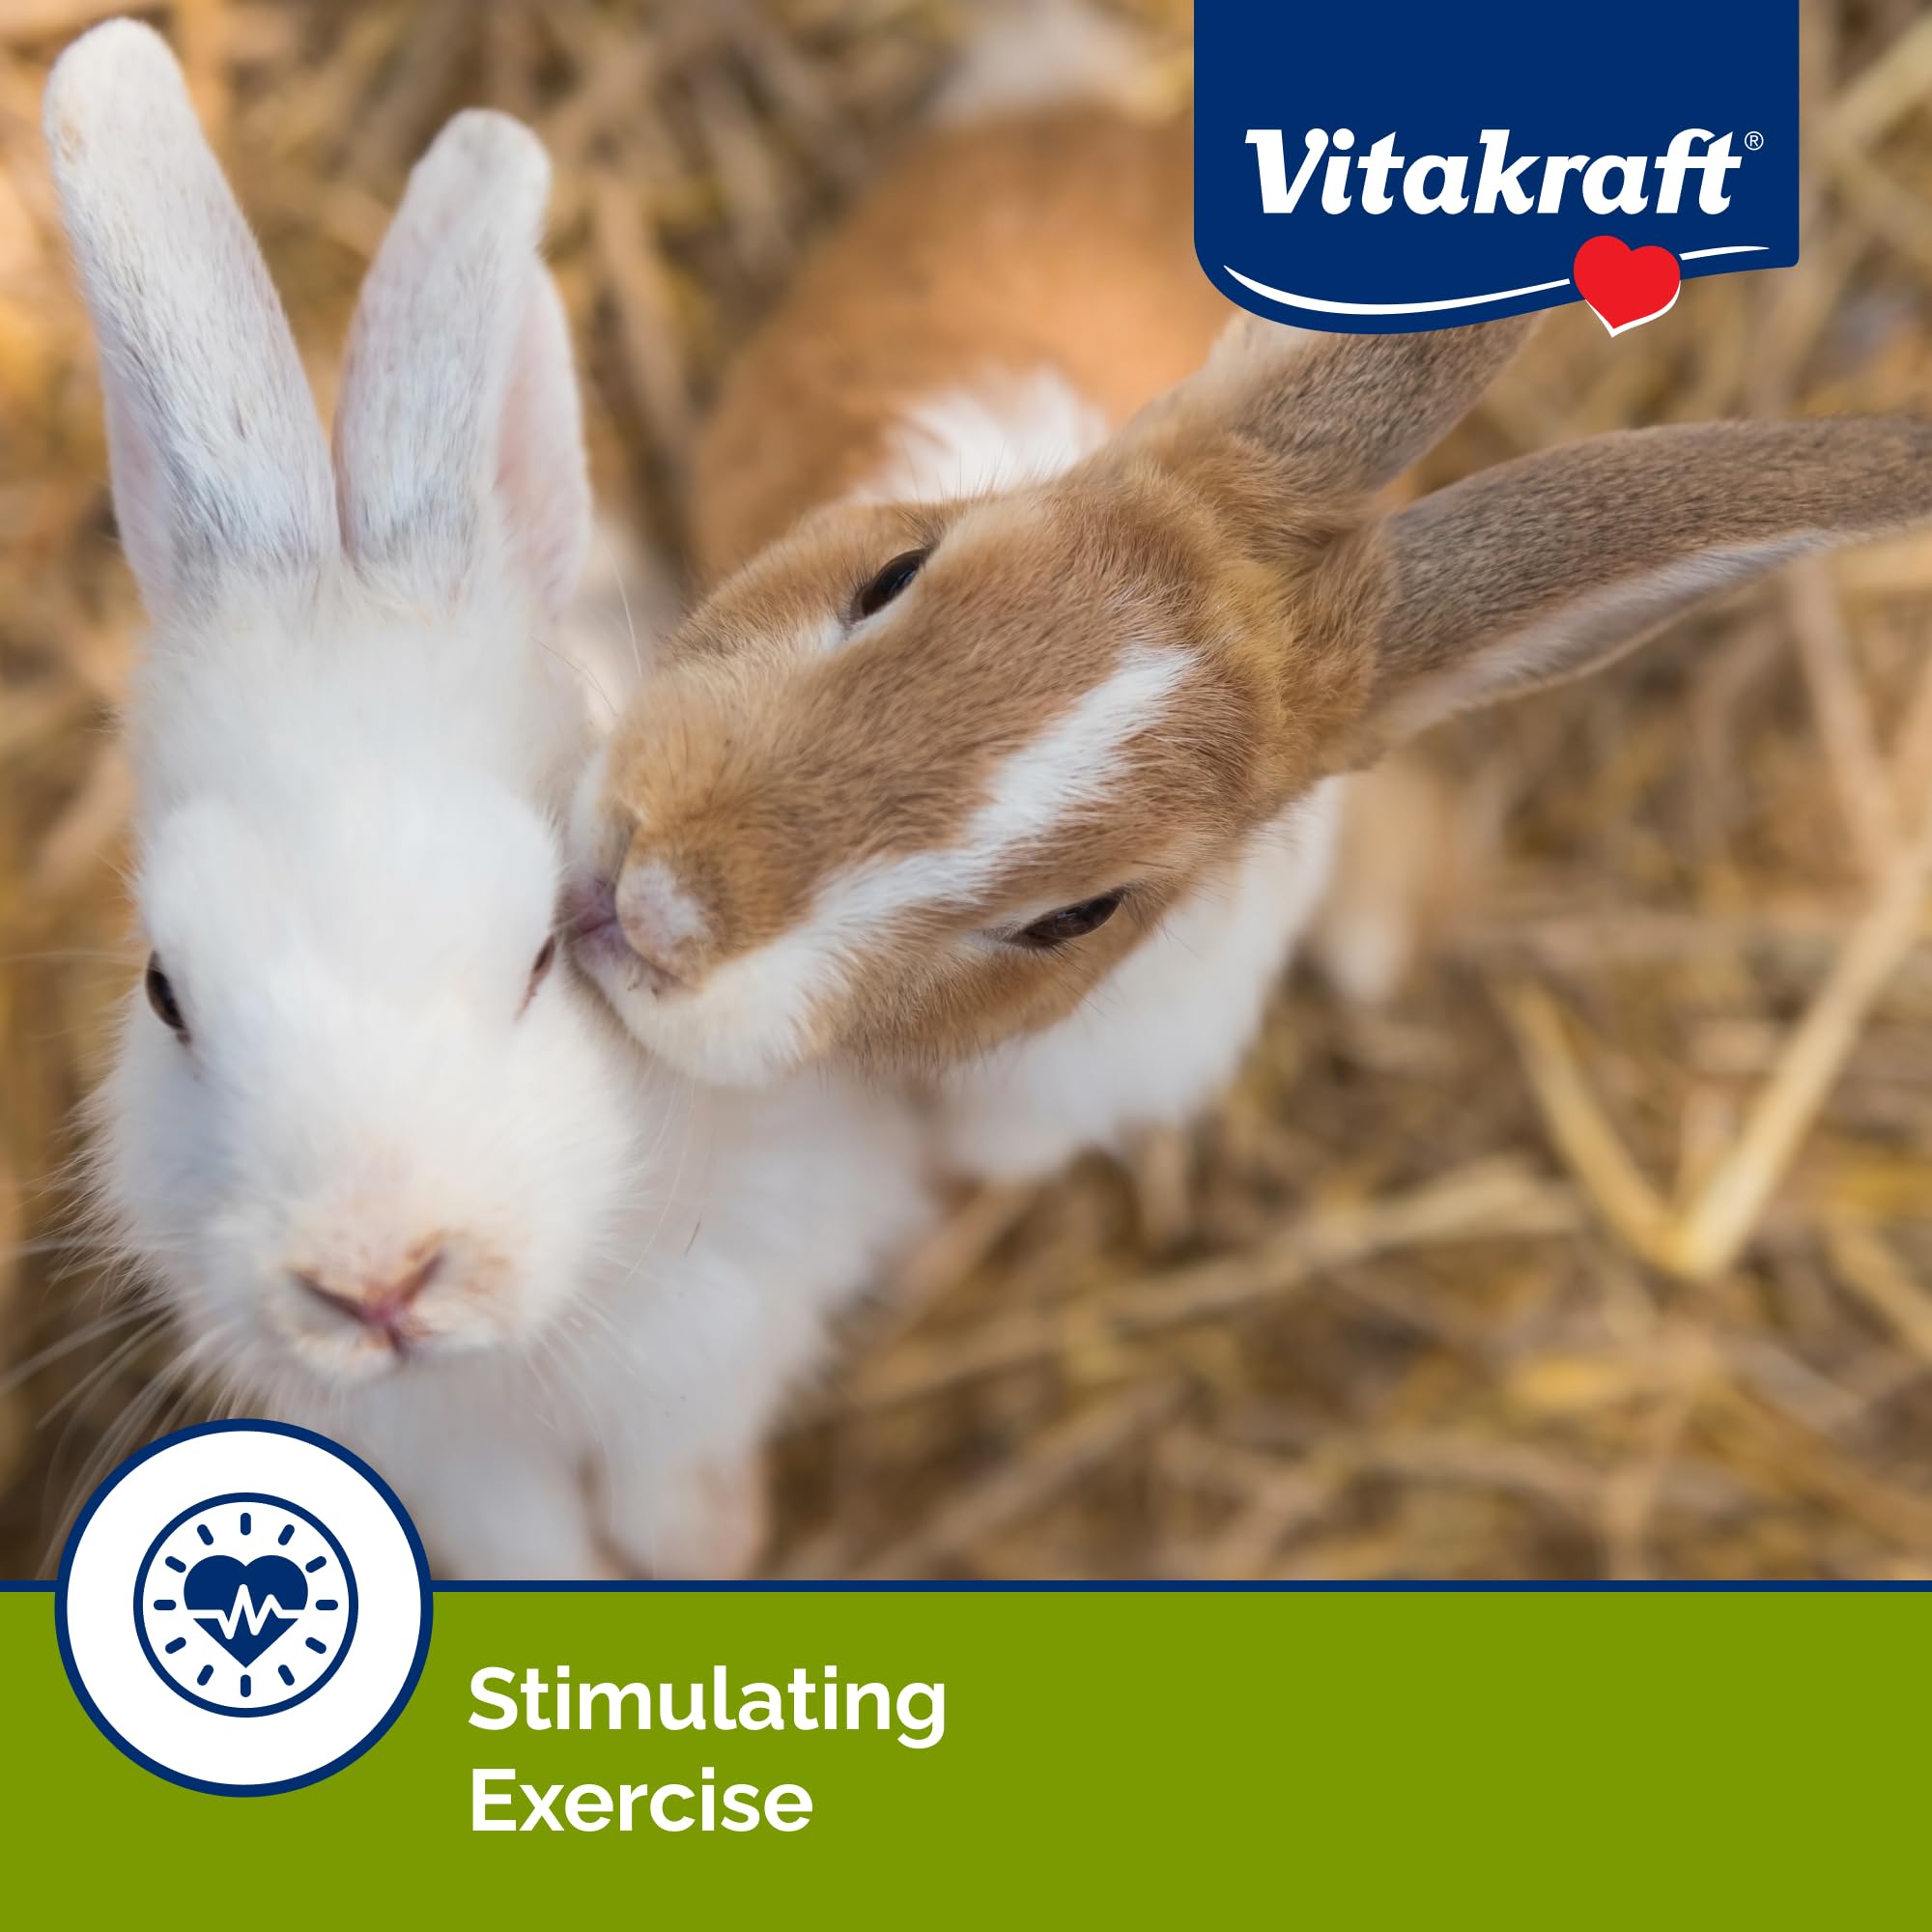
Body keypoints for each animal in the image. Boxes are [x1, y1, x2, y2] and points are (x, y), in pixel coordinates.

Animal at [48, 20, 929, 1580]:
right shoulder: (445, 1462)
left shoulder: (723, 1333)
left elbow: (670, 1493)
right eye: (164, 993)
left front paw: (711, 1544)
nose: (376, 1278)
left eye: (542, 953)